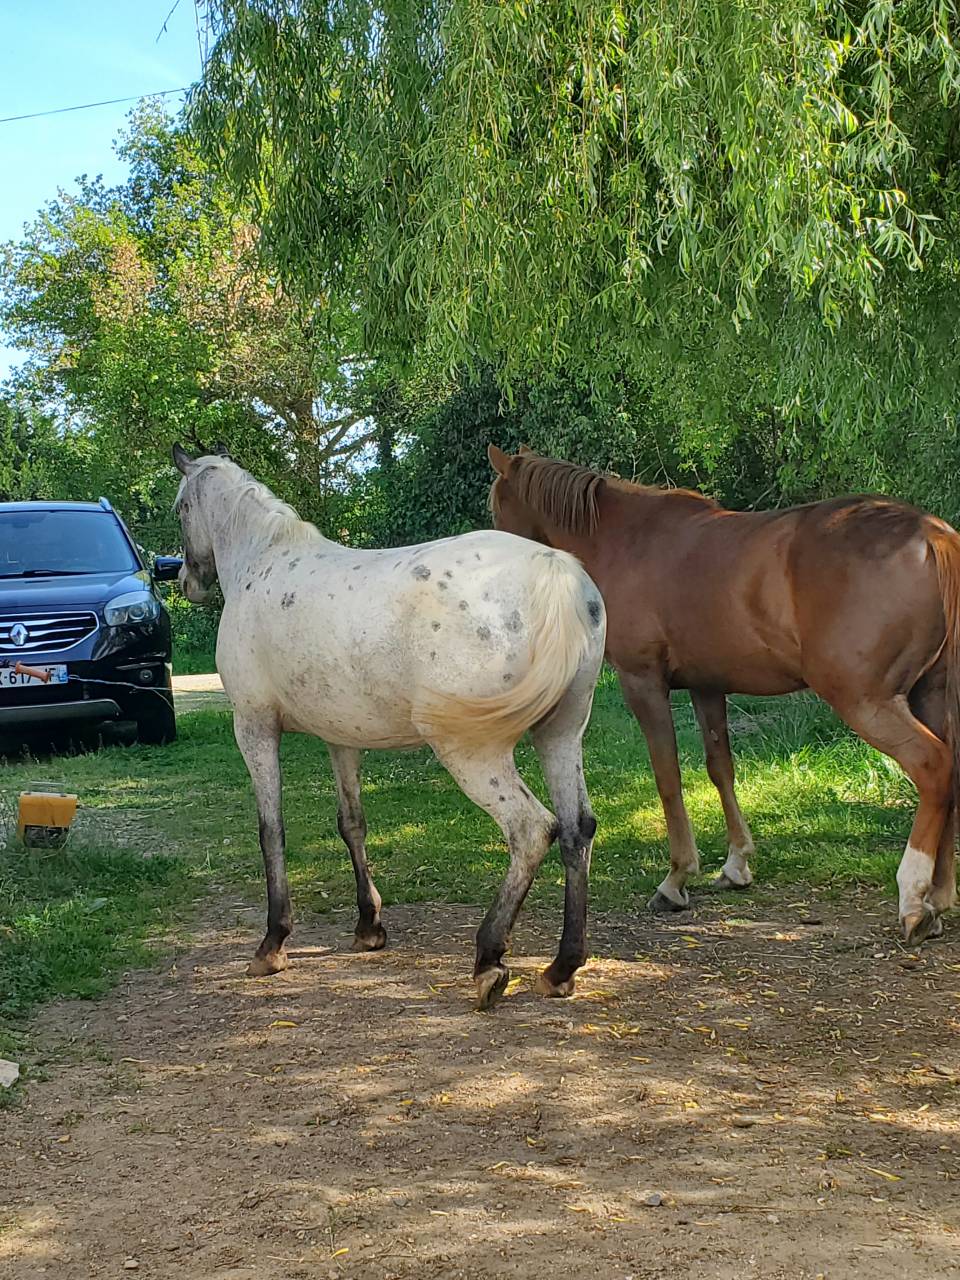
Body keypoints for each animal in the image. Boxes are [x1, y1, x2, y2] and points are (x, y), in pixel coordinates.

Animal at [172, 444, 606, 1008]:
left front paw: (273, 943)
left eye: (181, 508)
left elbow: (271, 830)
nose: (186, 582)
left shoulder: (254, 728)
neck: (263, 559)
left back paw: (489, 960)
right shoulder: (340, 739)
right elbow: (351, 823)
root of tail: (556, 573)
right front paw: (369, 926)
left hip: (473, 753)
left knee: (531, 830)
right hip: (561, 735)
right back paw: (561, 967)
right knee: (577, 830)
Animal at [488, 444, 960, 945]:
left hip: (866, 700)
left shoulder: (643, 683)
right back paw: (939, 895)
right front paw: (736, 864)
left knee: (933, 766)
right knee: (951, 770)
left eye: (498, 508)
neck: (624, 539)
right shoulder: (707, 685)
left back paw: (914, 898)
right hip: (929, 695)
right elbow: (721, 768)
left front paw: (676, 877)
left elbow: (668, 776)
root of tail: (930, 534)